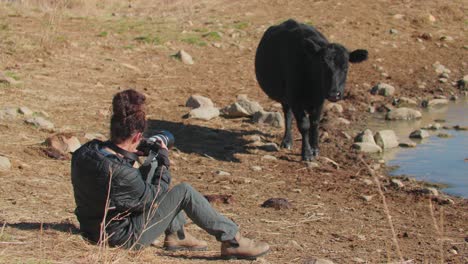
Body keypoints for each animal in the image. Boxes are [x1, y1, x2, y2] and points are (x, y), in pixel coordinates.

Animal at [254, 19, 368, 161]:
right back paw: (287, 141)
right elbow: (304, 125)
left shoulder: (320, 100)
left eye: (346, 67)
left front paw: (315, 149)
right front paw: (306, 153)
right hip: (285, 96)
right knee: (288, 115)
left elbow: (315, 122)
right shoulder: (295, 98)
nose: (334, 94)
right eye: (323, 65)